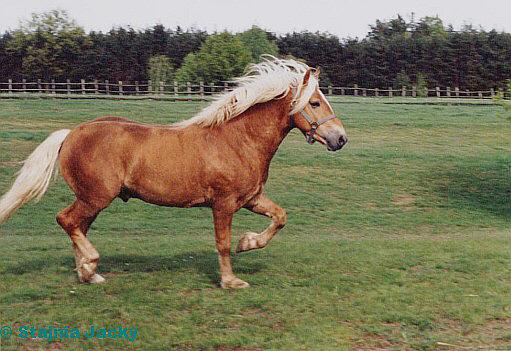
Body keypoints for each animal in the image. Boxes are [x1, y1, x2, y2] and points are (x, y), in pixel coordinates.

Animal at [0, 58, 348, 288]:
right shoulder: (223, 204)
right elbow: (222, 242)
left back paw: (88, 273)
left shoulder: (251, 198)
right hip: (95, 197)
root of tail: (72, 133)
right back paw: (91, 264)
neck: (238, 140)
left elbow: (280, 217)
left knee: (77, 227)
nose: (340, 139)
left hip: (92, 200)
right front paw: (231, 281)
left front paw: (248, 243)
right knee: (66, 221)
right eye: (315, 103)